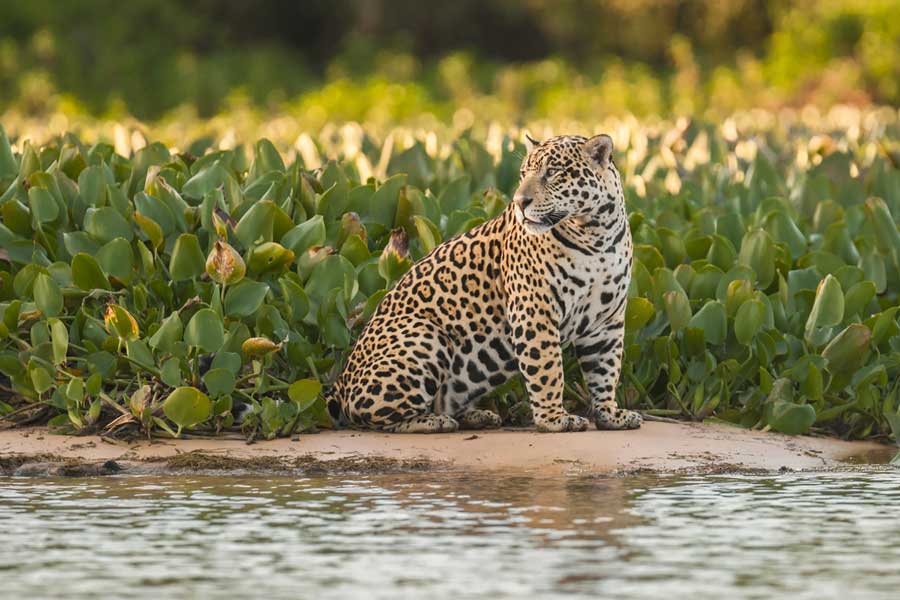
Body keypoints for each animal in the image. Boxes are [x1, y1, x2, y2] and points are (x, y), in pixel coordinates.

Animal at [326, 133, 643, 434]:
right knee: (371, 416)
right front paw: (554, 419)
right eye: (523, 174)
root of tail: (341, 381)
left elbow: (606, 369)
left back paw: (476, 416)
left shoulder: (607, 320)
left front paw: (610, 414)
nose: (519, 202)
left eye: (552, 172)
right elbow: (548, 370)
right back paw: (434, 422)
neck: (595, 234)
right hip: (425, 335)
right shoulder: (534, 312)